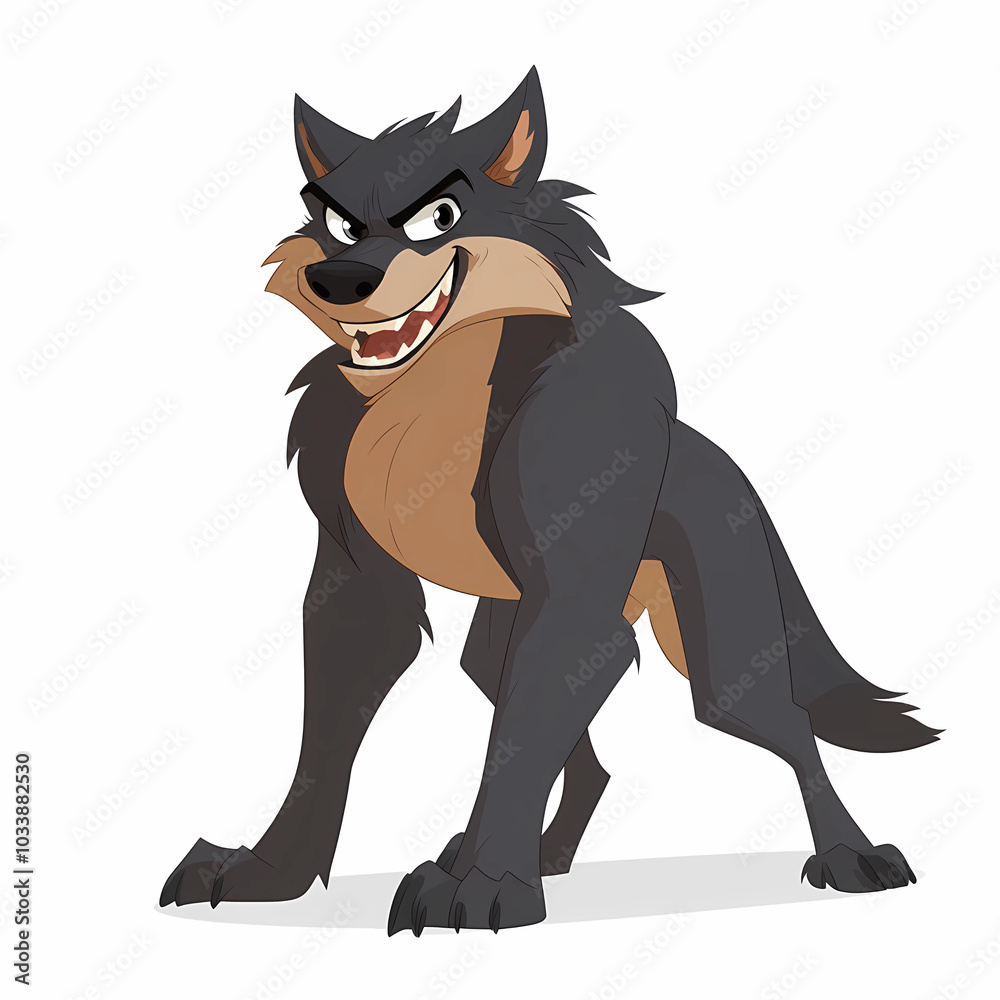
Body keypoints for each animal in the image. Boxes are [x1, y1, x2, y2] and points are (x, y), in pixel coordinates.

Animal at [159, 67, 941, 935]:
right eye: (336, 223)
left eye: (439, 217)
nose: (341, 280)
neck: (431, 405)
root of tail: (720, 462)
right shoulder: (363, 594)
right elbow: (324, 757)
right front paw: (270, 873)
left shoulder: (568, 598)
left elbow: (518, 748)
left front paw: (483, 887)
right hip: (501, 645)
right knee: (587, 756)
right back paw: (537, 856)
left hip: (719, 669)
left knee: (793, 730)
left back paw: (853, 858)